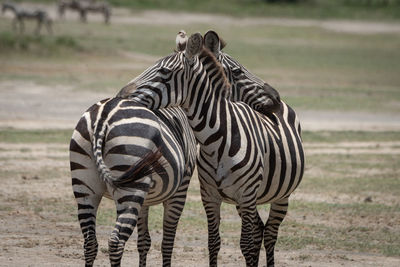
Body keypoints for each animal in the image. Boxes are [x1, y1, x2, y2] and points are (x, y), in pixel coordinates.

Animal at [71, 99, 198, 267]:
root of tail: (103, 116)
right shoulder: (180, 191)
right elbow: (168, 242)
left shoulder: (144, 200)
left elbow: (144, 241)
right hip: (131, 186)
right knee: (116, 242)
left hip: (85, 187)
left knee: (90, 242)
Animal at [117, 32, 304, 266]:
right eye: (237, 71)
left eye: (164, 72)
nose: (276, 98)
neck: (217, 142)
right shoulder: (211, 196)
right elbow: (214, 242)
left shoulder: (246, 195)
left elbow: (246, 245)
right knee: (261, 231)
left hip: (281, 196)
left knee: (269, 235)